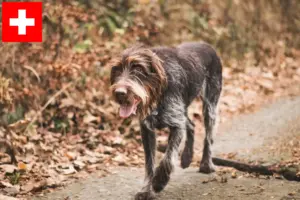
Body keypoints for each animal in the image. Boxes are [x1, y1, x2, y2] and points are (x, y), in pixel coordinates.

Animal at [109, 41, 221, 199]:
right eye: (117, 70)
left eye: (138, 70)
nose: (120, 93)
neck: (157, 93)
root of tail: (207, 45)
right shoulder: (147, 130)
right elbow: (149, 164)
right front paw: (146, 190)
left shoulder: (176, 125)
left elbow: (168, 158)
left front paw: (159, 181)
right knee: (191, 124)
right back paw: (186, 157)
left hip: (210, 104)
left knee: (208, 137)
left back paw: (206, 164)